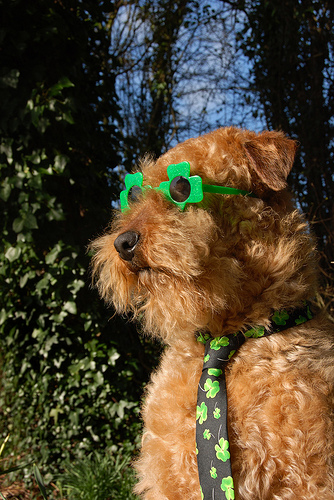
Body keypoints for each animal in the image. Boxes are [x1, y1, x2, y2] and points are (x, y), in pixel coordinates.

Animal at [90, 129, 334, 500]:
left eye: (180, 187)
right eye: (132, 192)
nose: (123, 243)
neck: (224, 337)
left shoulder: (309, 478)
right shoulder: (168, 478)